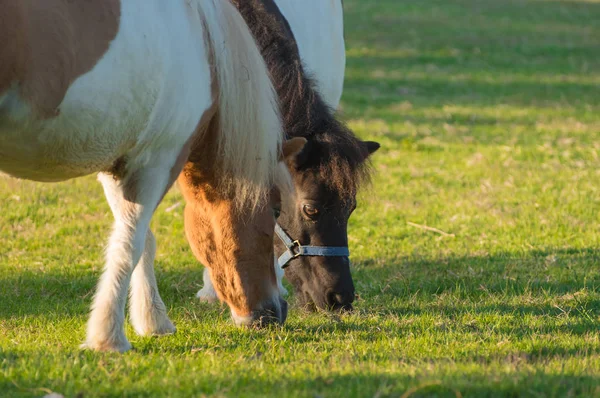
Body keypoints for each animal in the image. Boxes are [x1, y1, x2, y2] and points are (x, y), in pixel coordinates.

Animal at [0, 0, 298, 352]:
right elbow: (130, 242)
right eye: (276, 210)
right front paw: (109, 338)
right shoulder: (157, 161)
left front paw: (152, 321)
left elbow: (142, 241)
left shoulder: (119, 163)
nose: (275, 311)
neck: (204, 44)